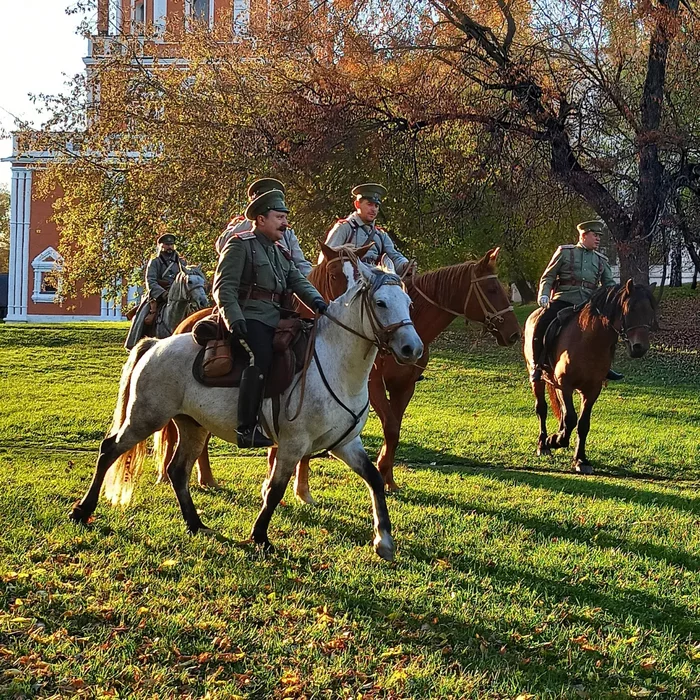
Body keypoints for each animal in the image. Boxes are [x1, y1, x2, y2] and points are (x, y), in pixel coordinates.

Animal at [71, 260, 424, 560]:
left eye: (408, 303)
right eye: (381, 303)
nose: (413, 348)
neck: (334, 363)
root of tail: (156, 345)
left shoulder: (345, 444)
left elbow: (374, 479)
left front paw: (384, 540)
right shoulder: (293, 445)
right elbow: (275, 490)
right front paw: (260, 537)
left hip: (192, 426)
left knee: (177, 471)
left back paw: (195, 524)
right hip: (145, 418)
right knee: (109, 450)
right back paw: (82, 510)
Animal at [524, 282, 660, 474]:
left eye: (650, 310)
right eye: (630, 309)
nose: (640, 347)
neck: (588, 340)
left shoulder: (592, 389)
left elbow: (582, 423)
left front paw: (580, 459)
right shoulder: (565, 384)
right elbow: (571, 418)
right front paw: (555, 440)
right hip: (536, 377)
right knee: (541, 409)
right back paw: (543, 445)